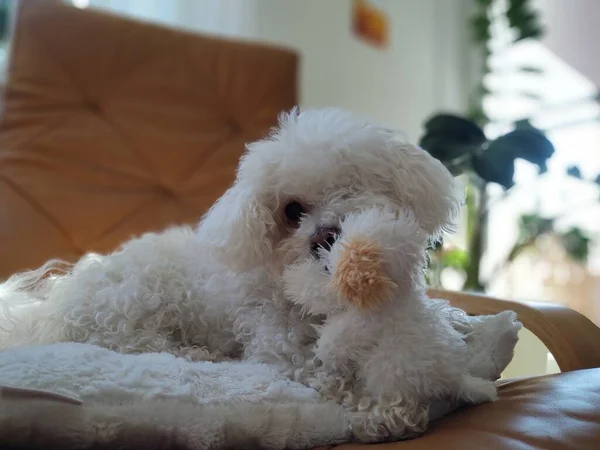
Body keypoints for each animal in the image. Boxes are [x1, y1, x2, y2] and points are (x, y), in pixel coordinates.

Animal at [0, 105, 464, 384]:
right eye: (291, 210)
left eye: (352, 188)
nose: (323, 237)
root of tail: (48, 310)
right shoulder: (279, 348)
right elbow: (323, 371)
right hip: (133, 304)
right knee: (138, 344)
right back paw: (200, 353)